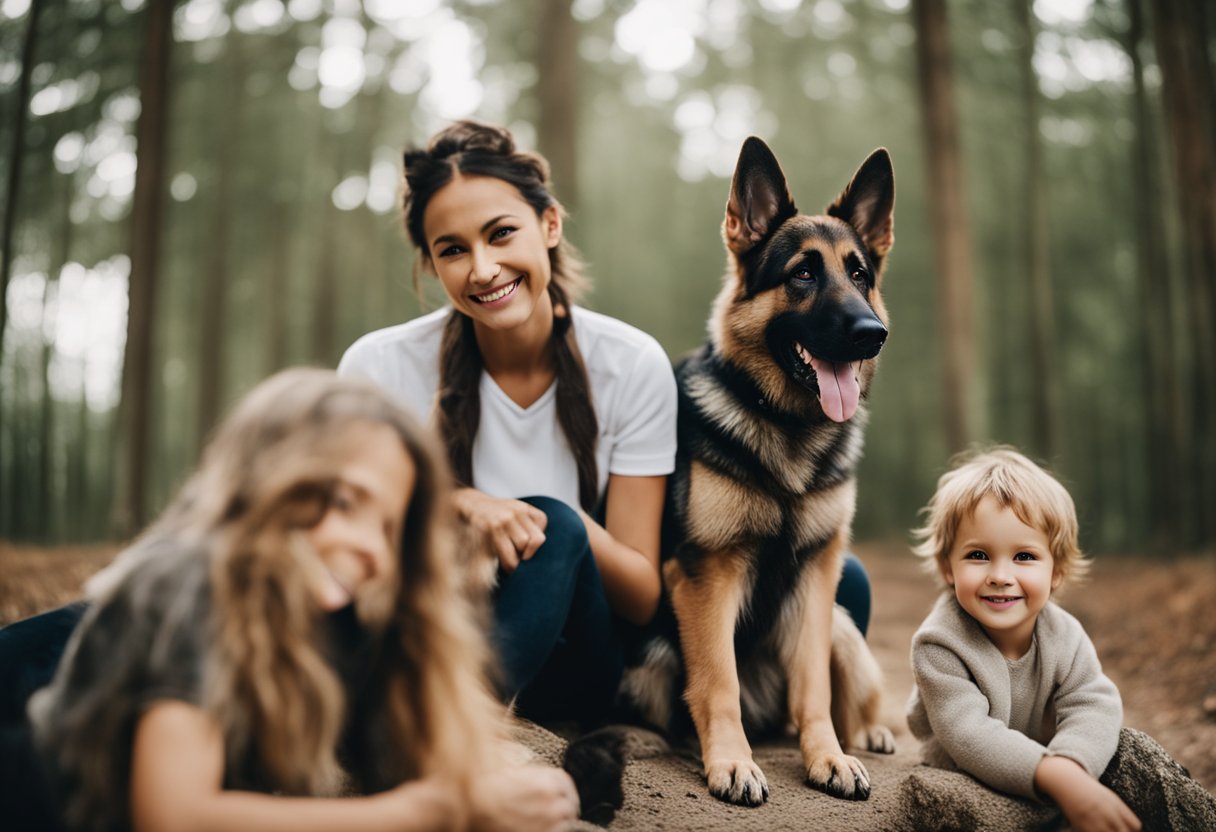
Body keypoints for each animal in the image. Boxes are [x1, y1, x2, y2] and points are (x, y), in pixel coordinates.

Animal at [608, 138, 894, 807]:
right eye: (803, 274)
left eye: (860, 275)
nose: (872, 334)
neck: (786, 427)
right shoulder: (709, 575)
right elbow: (718, 682)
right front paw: (732, 763)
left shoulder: (817, 576)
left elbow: (814, 686)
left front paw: (828, 758)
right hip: (652, 654)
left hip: (843, 627)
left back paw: (868, 735)